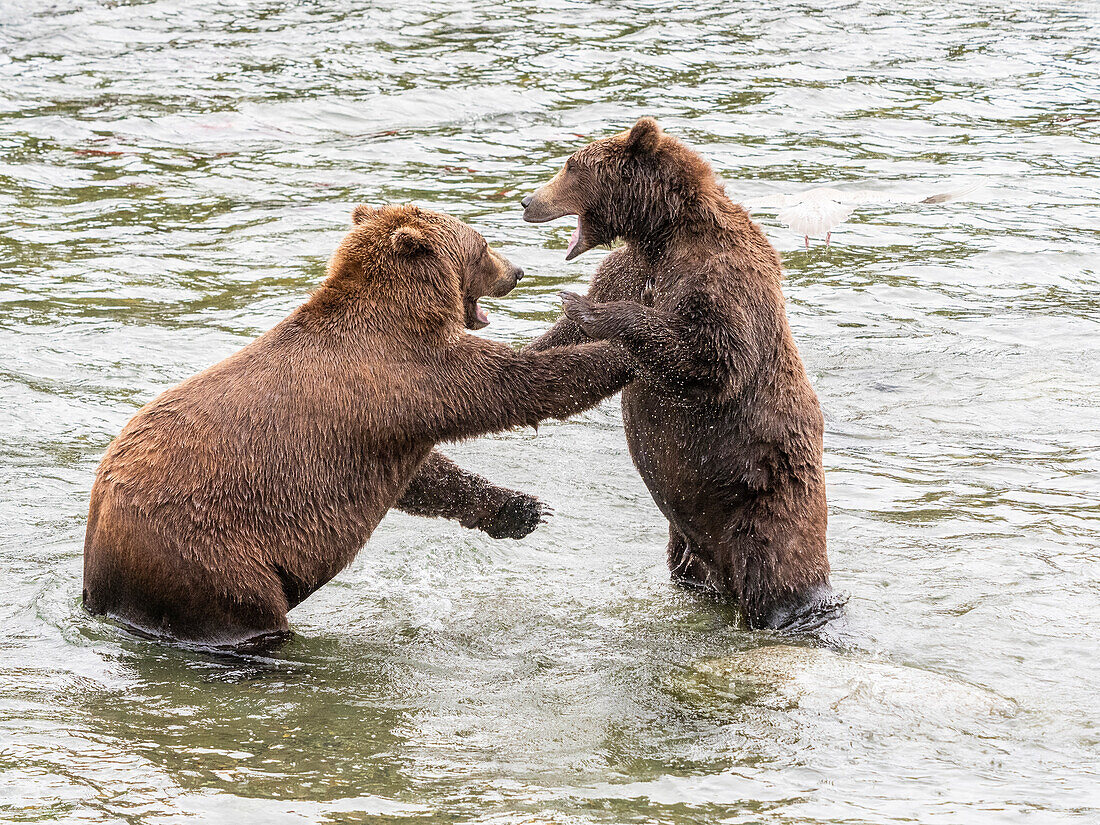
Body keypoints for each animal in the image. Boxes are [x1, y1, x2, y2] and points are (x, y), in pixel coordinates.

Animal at [83, 203, 638, 651]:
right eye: (482, 244)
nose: (518, 270)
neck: (403, 310)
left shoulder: (392, 426)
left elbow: (427, 477)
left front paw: (520, 509)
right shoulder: (411, 375)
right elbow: (515, 383)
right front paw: (622, 352)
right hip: (206, 552)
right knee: (244, 613)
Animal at [519, 117, 844, 633]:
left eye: (571, 165)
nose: (528, 201)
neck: (660, 235)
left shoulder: (720, 278)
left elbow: (716, 357)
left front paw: (586, 308)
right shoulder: (625, 269)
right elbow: (564, 339)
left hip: (763, 499)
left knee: (775, 570)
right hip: (690, 532)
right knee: (690, 564)